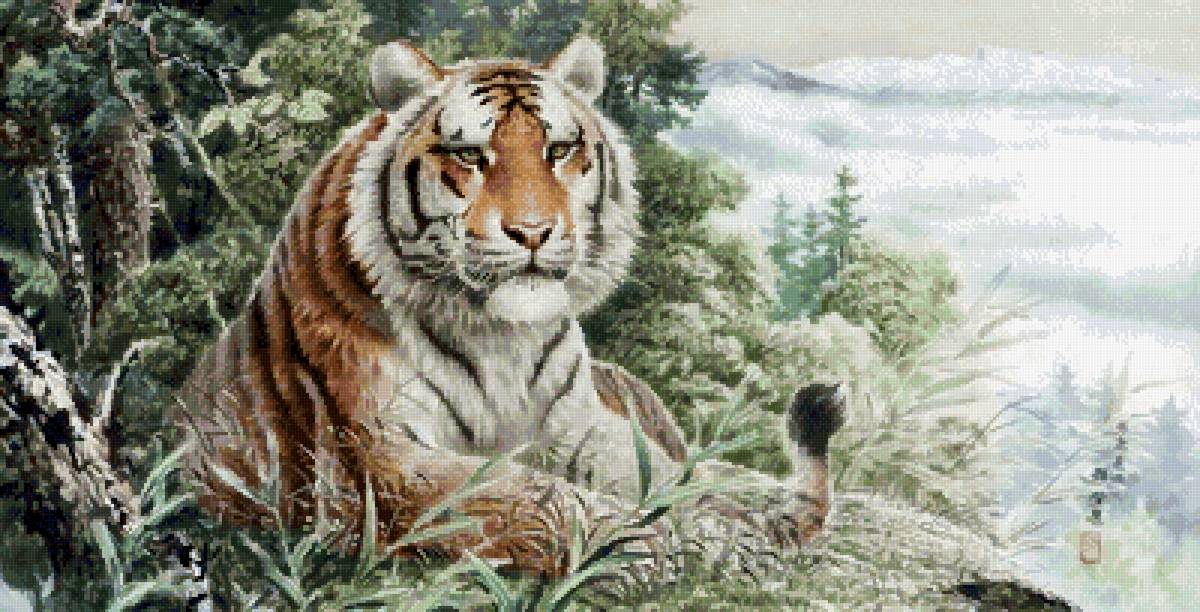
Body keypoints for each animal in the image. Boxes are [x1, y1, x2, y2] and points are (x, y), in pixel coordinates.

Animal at [180, 35, 845, 579]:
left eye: (559, 149)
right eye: (471, 156)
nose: (533, 232)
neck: (500, 337)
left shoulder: (580, 426)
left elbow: (661, 477)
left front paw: (725, 527)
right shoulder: (379, 456)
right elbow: (535, 497)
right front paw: (665, 544)